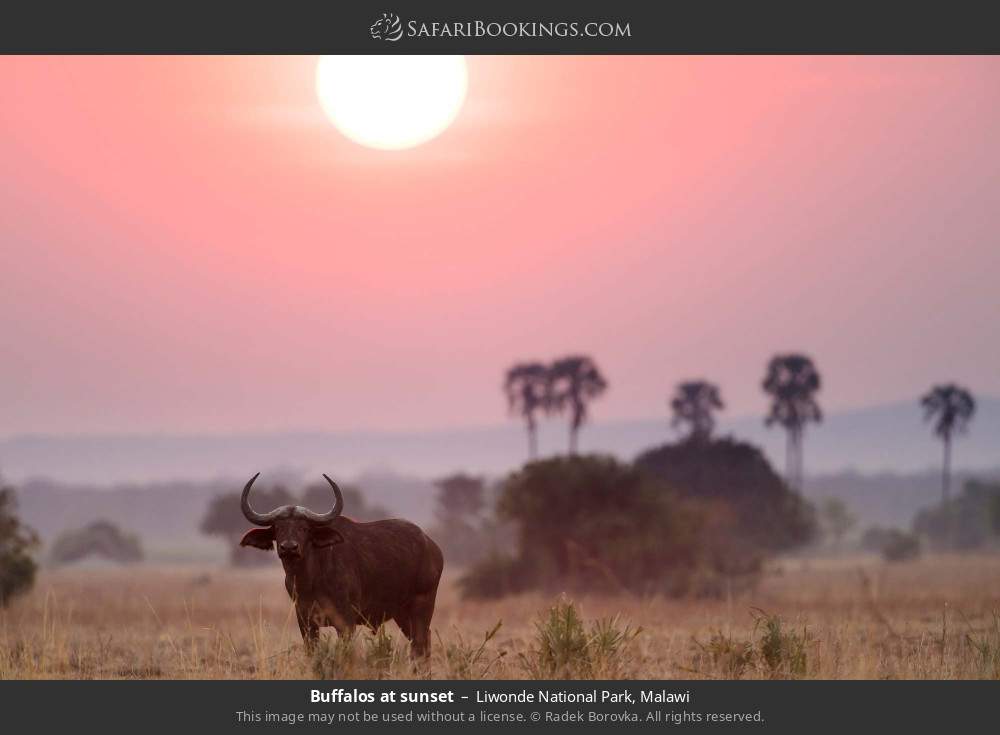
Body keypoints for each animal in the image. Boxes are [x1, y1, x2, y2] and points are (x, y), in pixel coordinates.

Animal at [239, 473, 444, 657]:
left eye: (304, 528)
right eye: (278, 528)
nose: (289, 547)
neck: (310, 579)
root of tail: (432, 547)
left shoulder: (346, 622)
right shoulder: (305, 621)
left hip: (422, 606)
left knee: (421, 644)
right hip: (401, 614)